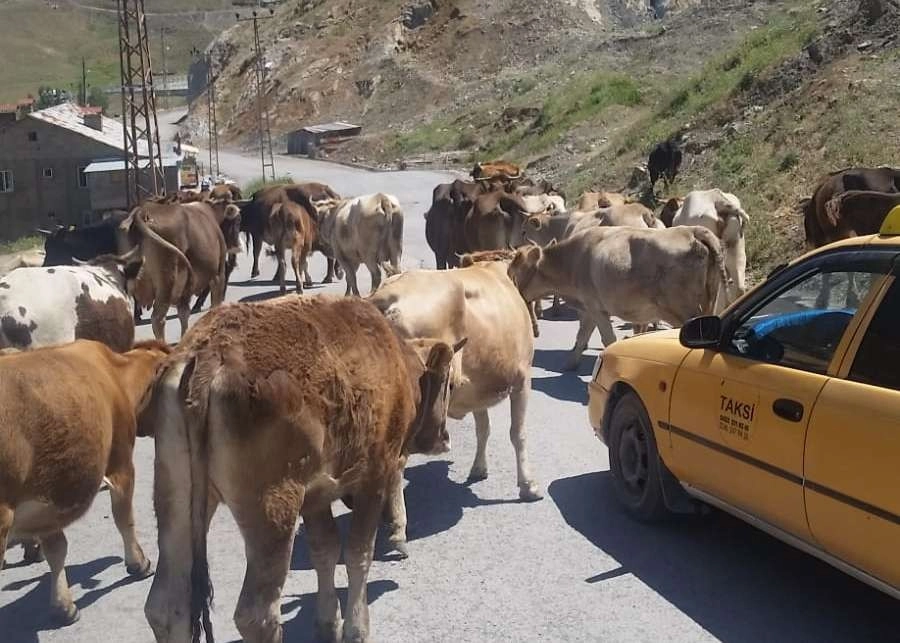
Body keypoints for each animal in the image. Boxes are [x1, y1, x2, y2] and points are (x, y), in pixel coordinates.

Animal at [0, 340, 170, 628]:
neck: (117, 374)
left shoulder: (50, 494)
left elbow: (57, 549)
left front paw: (63, 606)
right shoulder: (121, 464)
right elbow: (124, 518)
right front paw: (139, 563)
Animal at [143, 296, 460, 643]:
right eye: (449, 386)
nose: (443, 438)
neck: (395, 360)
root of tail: (211, 352)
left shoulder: (316, 497)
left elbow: (325, 551)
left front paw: (328, 624)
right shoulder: (374, 477)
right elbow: (358, 553)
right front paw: (356, 628)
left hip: (175, 502)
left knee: (164, 607)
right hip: (272, 512)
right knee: (256, 615)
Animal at [368, 260, 540, 520]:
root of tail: (387, 294)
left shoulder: (478, 391)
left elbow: (483, 428)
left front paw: (479, 468)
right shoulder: (522, 378)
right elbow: (517, 433)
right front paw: (528, 486)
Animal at [510, 226, 728, 370]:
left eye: (516, 271)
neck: (573, 260)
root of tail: (692, 230)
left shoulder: (595, 308)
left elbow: (607, 339)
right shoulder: (590, 308)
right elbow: (582, 335)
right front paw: (571, 363)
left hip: (684, 311)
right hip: (709, 303)